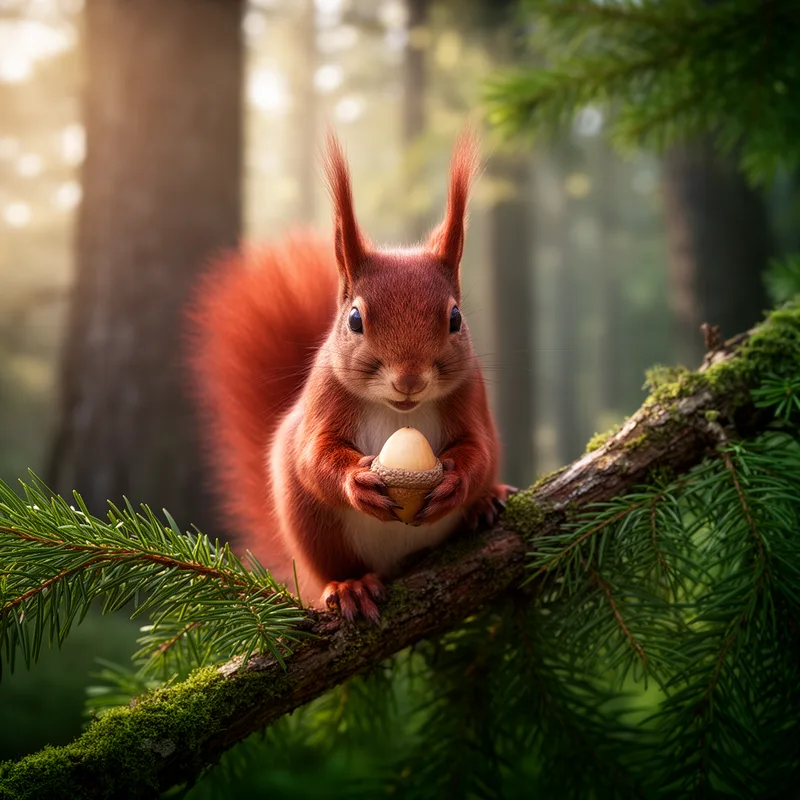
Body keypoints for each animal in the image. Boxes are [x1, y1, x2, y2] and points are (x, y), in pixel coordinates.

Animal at [187, 130, 514, 622]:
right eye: (355, 319)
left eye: (455, 318)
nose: (409, 380)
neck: (400, 412)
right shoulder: (324, 396)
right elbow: (314, 456)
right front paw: (354, 482)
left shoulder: (470, 395)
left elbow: (480, 447)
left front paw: (459, 482)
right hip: (314, 530)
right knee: (332, 559)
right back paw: (350, 586)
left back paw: (486, 503)